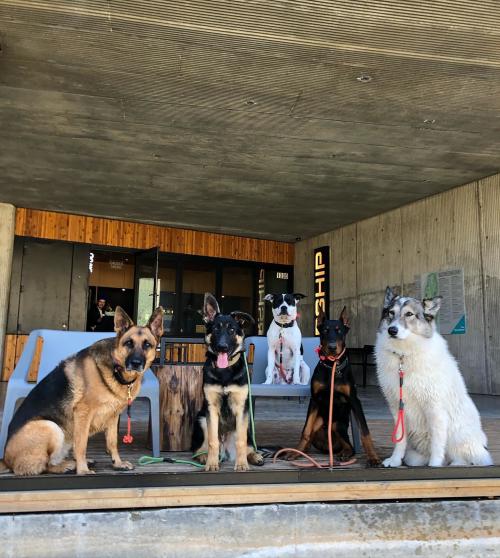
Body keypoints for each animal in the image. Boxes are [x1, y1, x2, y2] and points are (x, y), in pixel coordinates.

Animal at [0, 306, 163, 476]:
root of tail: (6, 459)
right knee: (45, 466)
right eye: (129, 343)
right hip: (51, 427)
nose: (136, 363)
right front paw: (83, 470)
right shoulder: (83, 413)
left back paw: (72, 462)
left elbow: (112, 442)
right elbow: (81, 444)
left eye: (147, 345)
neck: (116, 370)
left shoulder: (113, 416)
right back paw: (68, 466)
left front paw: (117, 463)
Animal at [191, 294, 264, 472]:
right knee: (200, 448)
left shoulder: (242, 409)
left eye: (231, 330)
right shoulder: (211, 409)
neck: (225, 372)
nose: (222, 347)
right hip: (201, 419)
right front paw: (211, 463)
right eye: (216, 329)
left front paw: (242, 464)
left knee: (247, 445)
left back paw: (254, 456)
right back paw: (204, 457)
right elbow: (212, 441)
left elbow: (241, 442)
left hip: (246, 426)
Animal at [288, 306, 380, 468]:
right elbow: (305, 430)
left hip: (337, 424)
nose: (332, 348)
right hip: (319, 421)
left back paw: (344, 454)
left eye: (339, 330)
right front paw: (296, 452)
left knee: (350, 446)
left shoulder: (354, 400)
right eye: (324, 330)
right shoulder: (315, 399)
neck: (332, 366)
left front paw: (373, 457)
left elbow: (365, 432)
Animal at [376, 288, 490, 468]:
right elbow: (400, 440)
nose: (392, 330)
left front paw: (435, 464)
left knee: (463, 458)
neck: (404, 355)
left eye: (409, 314)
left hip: (458, 435)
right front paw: (394, 460)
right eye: (390, 313)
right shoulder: (397, 407)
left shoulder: (434, 408)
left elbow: (437, 441)